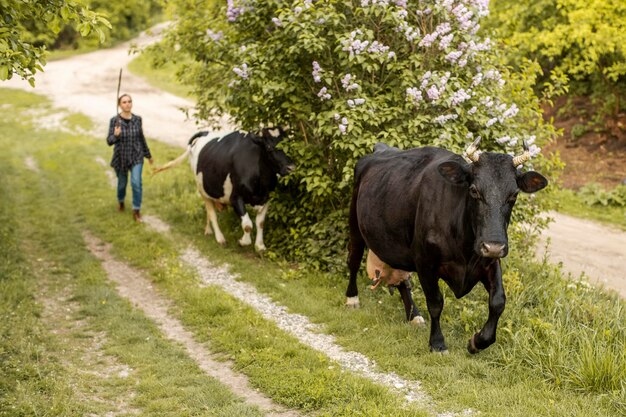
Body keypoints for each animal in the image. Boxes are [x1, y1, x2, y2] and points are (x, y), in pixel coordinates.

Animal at [155, 127, 294, 250]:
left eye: (290, 143)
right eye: (269, 147)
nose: (291, 167)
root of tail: (205, 132)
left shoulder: (267, 198)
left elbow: (260, 223)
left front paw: (260, 246)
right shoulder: (235, 198)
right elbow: (247, 225)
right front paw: (243, 242)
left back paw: (208, 231)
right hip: (202, 190)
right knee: (212, 214)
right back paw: (220, 238)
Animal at [346, 139, 544, 352]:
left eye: (513, 195)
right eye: (474, 190)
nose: (493, 246)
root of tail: (381, 148)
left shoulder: (489, 262)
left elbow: (498, 301)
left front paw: (478, 342)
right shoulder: (425, 262)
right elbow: (435, 303)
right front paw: (437, 343)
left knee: (401, 278)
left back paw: (414, 316)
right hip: (355, 225)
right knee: (353, 261)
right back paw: (352, 299)